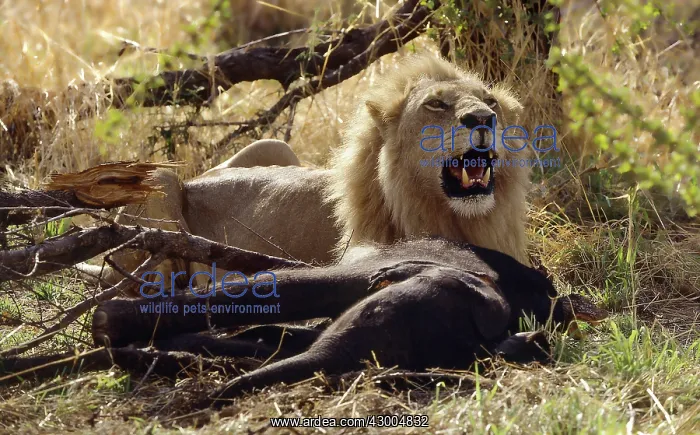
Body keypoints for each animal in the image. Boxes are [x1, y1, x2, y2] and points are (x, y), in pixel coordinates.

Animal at [79, 54, 532, 293]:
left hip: (273, 146)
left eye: (491, 100)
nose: (483, 117)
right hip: (159, 183)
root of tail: (193, 180)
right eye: (436, 104)